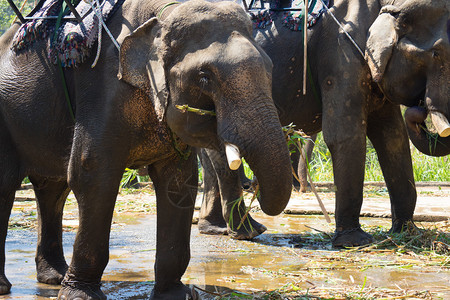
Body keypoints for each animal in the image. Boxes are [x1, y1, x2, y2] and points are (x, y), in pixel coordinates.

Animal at [0, 0, 294, 298]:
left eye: (270, 69)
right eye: (204, 77)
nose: (252, 184)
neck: (161, 16)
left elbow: (179, 183)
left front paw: (174, 294)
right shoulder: (103, 90)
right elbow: (93, 175)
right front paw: (81, 296)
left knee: (52, 189)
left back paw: (54, 278)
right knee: (8, 184)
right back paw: (10, 285)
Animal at [200, 0, 450, 246]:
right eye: (437, 53)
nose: (420, 107)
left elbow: (393, 137)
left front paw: (407, 233)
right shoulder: (341, 53)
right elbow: (344, 134)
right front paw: (355, 242)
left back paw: (217, 228)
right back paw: (248, 231)